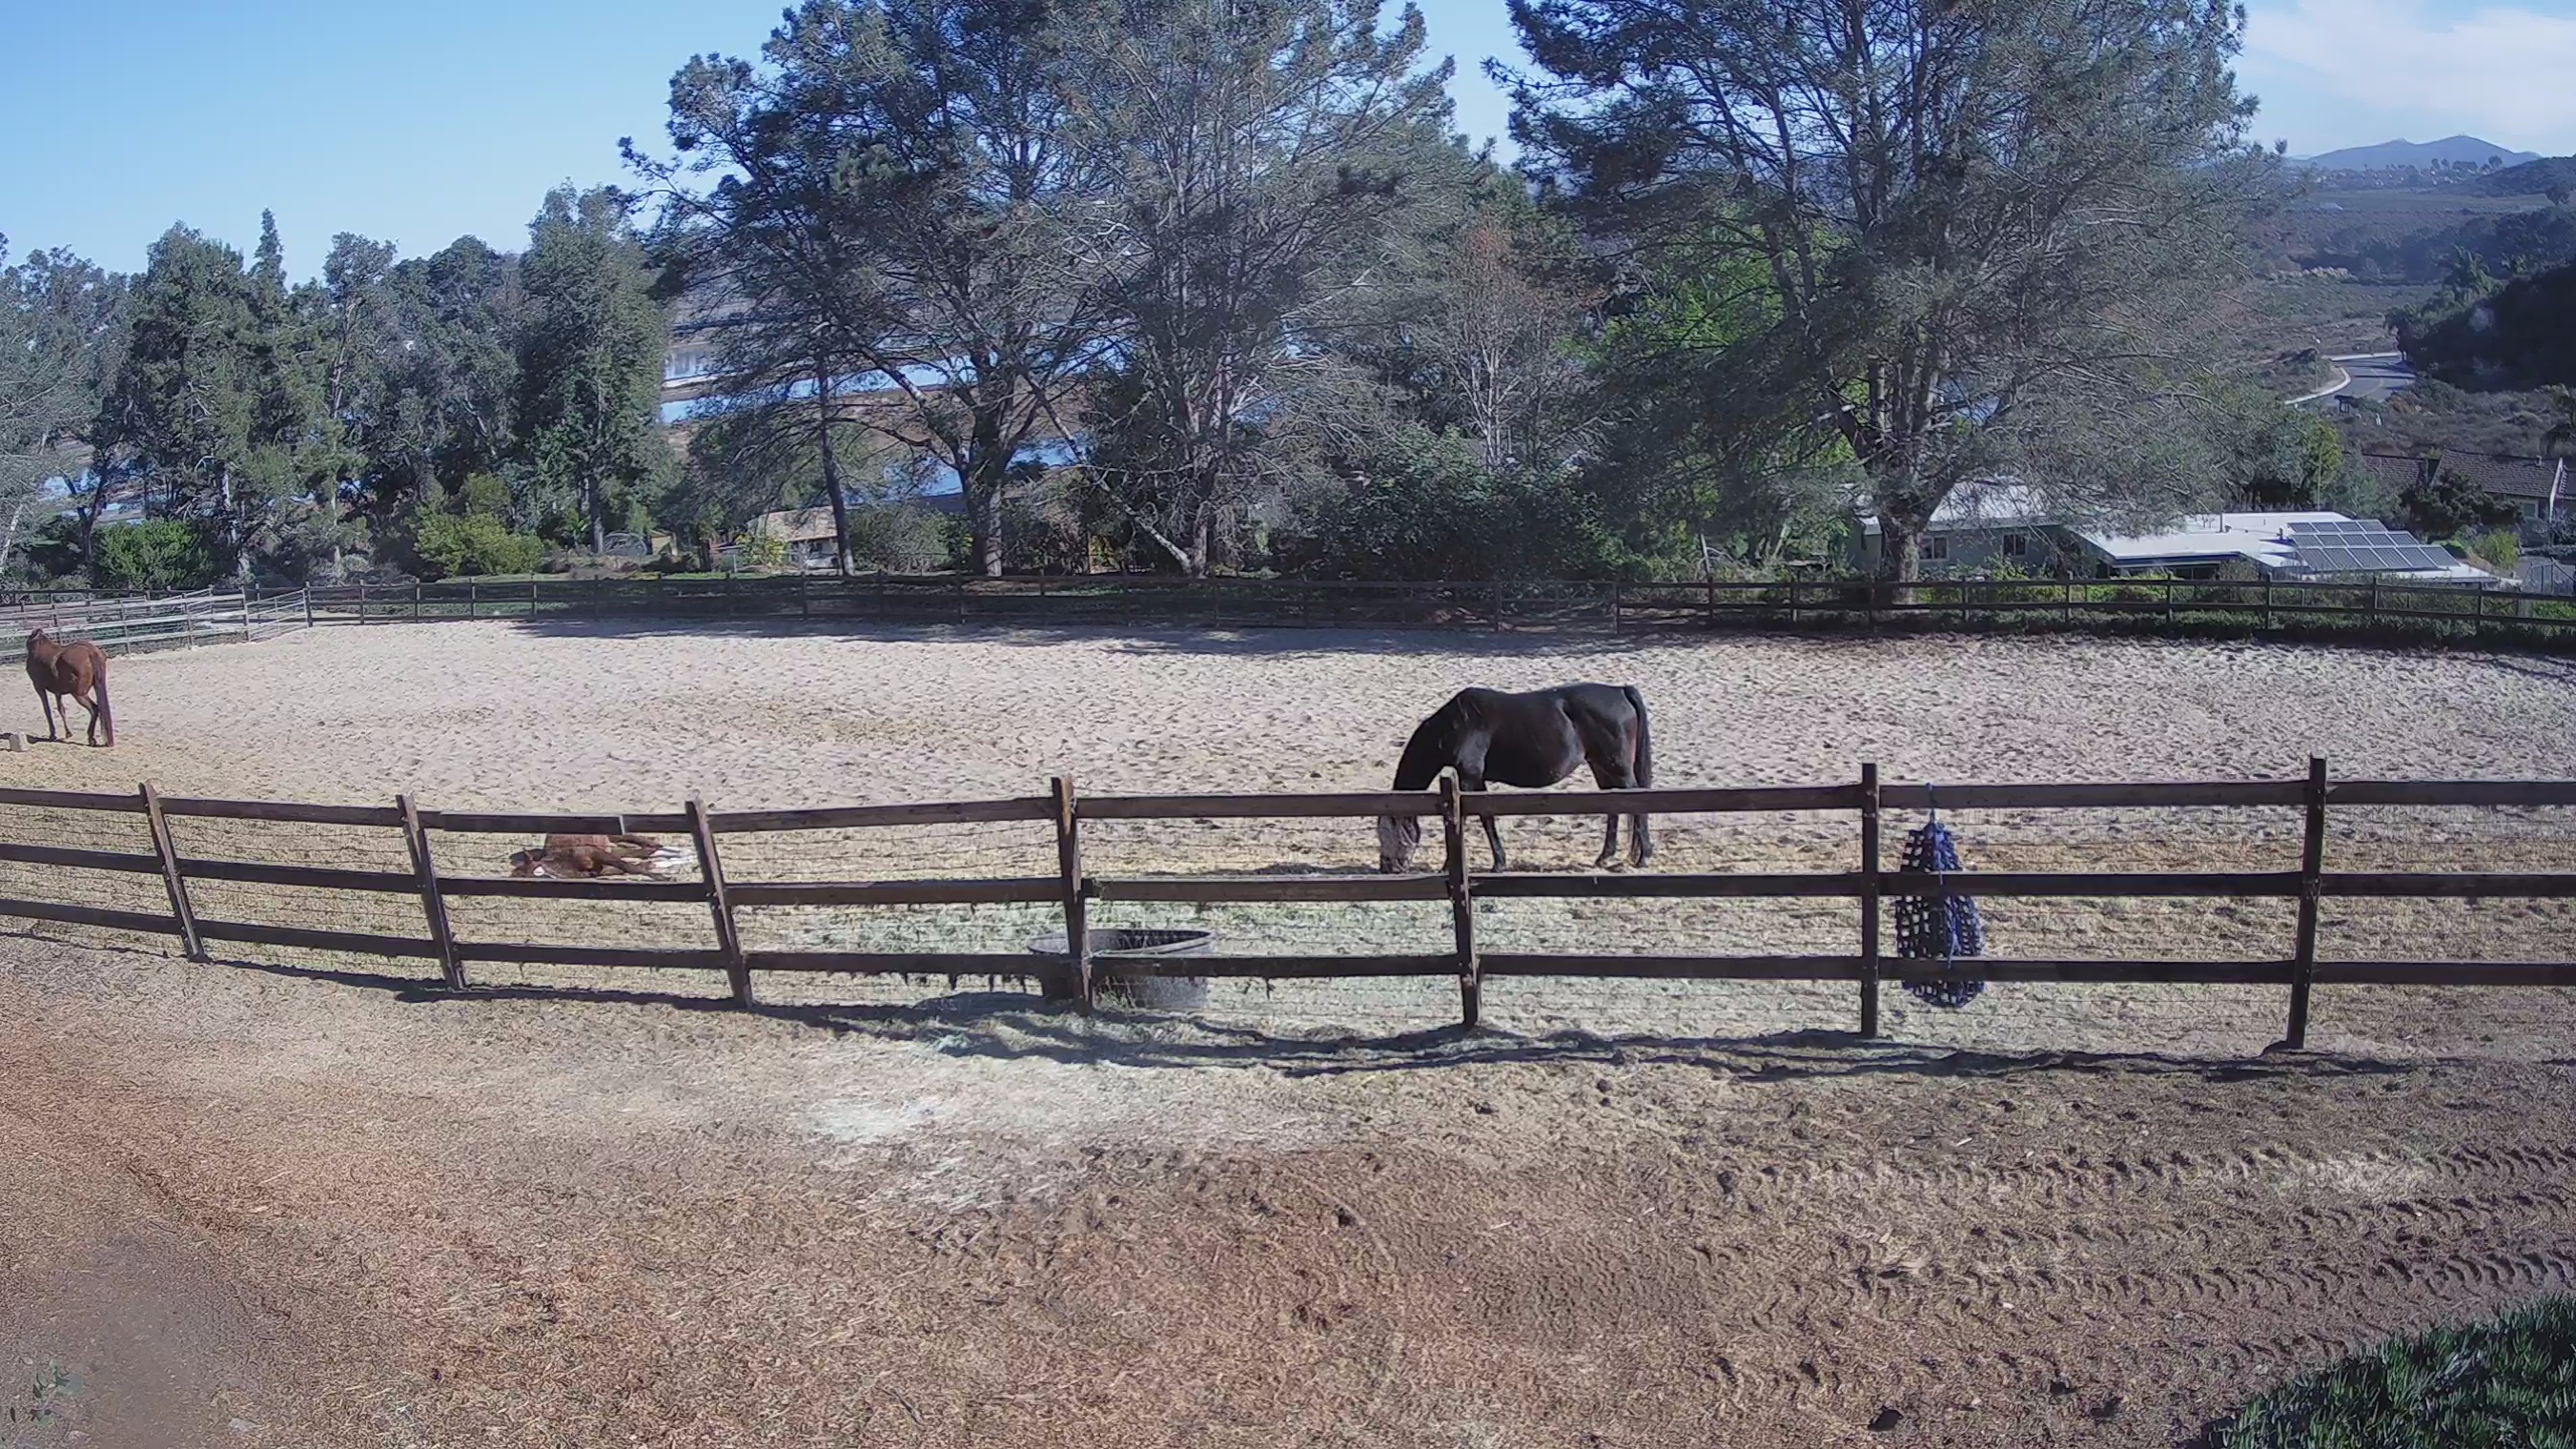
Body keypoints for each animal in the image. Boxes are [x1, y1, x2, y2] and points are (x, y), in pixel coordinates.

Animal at [1377, 683, 1653, 873]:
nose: (1386, 867)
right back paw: (1605, 856)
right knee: (1613, 804)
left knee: (1637, 802)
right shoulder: (1475, 780)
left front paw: (1484, 864)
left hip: (1617, 768)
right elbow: (1484, 818)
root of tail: (1620, 691)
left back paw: (1643, 856)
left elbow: (1476, 820)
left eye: (1387, 833)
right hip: (1601, 767)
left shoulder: (1469, 778)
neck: (1456, 724)